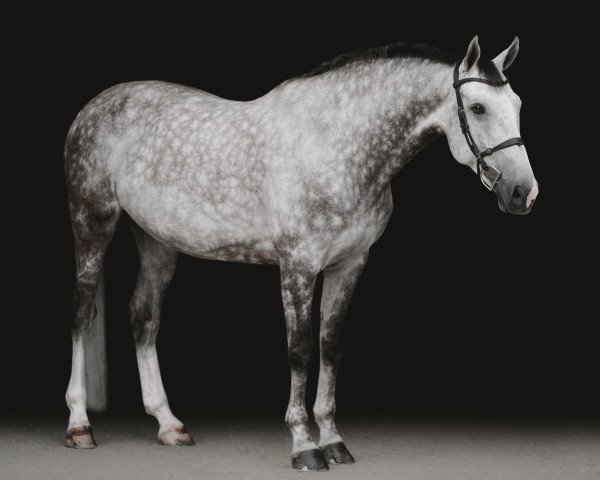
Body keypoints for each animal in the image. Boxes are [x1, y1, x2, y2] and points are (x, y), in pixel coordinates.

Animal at [64, 35, 540, 470]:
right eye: (477, 107)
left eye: (517, 104)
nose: (523, 193)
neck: (336, 144)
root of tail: (94, 106)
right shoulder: (297, 265)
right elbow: (299, 348)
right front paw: (303, 445)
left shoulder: (350, 264)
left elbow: (330, 345)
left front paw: (332, 440)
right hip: (93, 224)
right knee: (82, 314)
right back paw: (79, 425)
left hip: (157, 242)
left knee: (143, 318)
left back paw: (169, 424)